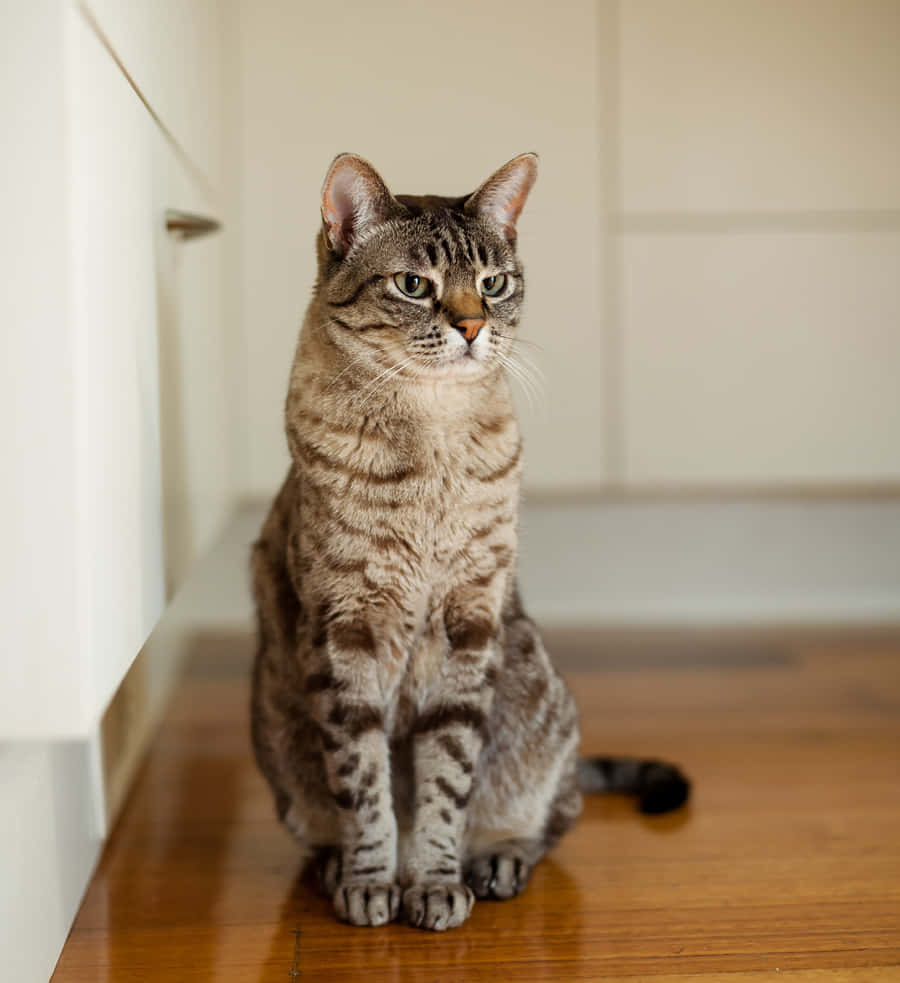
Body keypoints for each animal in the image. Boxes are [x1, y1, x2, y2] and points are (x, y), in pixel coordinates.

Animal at [250, 152, 684, 932]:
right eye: (413, 284)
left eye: (493, 283)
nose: (474, 326)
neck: (433, 445)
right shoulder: (344, 628)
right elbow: (364, 780)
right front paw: (371, 879)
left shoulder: (470, 617)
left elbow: (445, 781)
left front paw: (434, 879)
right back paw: (335, 865)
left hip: (538, 697)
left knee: (554, 815)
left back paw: (499, 859)